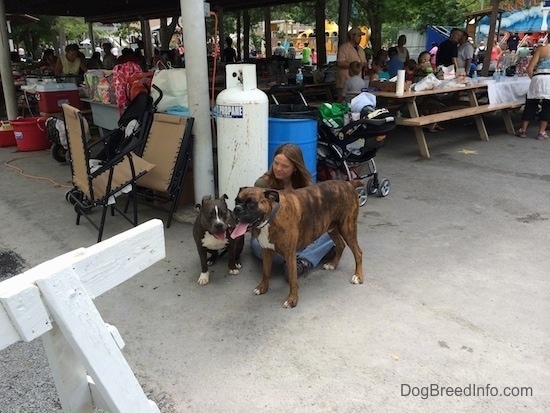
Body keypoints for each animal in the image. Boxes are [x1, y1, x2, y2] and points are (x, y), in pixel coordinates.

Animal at [233, 179, 366, 308]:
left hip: (347, 228)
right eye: (236, 201)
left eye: (251, 203)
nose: (236, 209)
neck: (270, 218)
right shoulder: (266, 250)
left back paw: (358, 276)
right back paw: (332, 264)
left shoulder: (289, 254)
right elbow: (265, 272)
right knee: (340, 245)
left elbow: (293, 279)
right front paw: (262, 288)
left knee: (358, 252)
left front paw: (292, 300)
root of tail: (348, 183)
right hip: (331, 228)